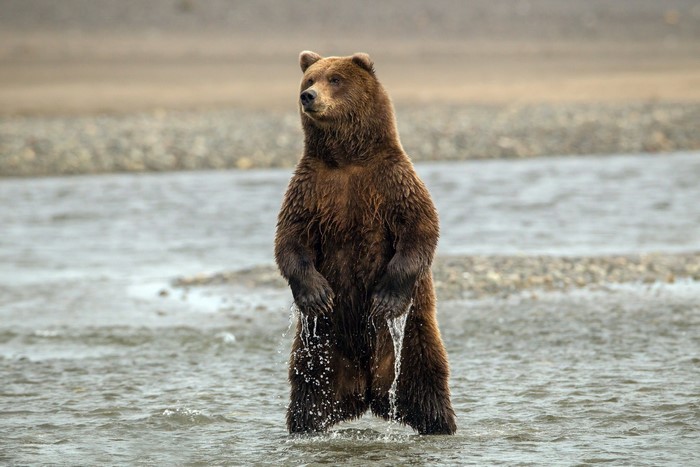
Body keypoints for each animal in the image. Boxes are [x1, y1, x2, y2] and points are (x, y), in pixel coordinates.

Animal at [274, 51, 456, 435]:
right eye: (309, 79)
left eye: (335, 79)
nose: (308, 96)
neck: (347, 159)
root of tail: (367, 391)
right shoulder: (310, 189)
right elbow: (290, 240)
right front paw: (316, 295)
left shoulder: (392, 182)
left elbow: (420, 229)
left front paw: (385, 299)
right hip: (320, 348)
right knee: (308, 390)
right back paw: (305, 427)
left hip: (413, 335)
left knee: (426, 381)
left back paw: (440, 425)